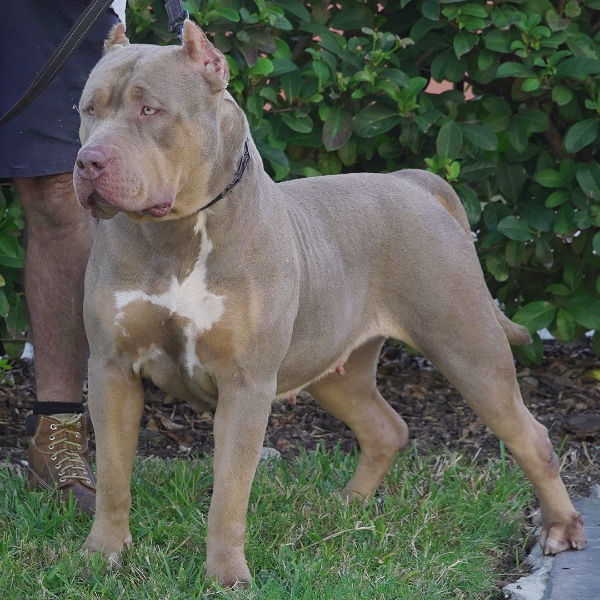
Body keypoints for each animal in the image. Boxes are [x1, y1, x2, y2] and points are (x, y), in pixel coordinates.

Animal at [71, 19, 584, 584]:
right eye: (88, 109)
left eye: (150, 110)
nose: (88, 161)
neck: (177, 235)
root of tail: (411, 182)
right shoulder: (112, 369)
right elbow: (113, 473)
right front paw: (102, 554)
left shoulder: (245, 385)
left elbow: (229, 494)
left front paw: (226, 574)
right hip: (336, 368)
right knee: (386, 428)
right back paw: (349, 505)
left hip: (469, 349)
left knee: (530, 437)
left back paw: (561, 527)